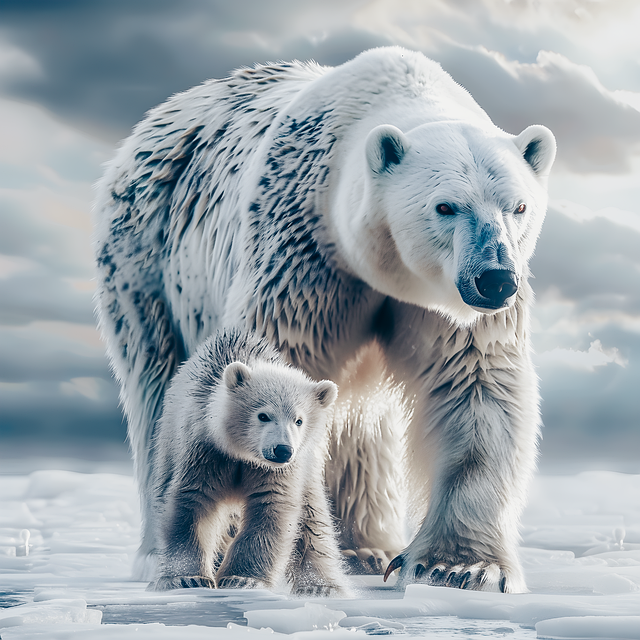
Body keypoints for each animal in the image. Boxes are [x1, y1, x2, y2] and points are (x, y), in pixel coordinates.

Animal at [146, 329, 347, 595]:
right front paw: (186, 578)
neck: (240, 453)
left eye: (299, 420)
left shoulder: (277, 471)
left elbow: (270, 507)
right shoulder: (205, 452)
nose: (282, 450)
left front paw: (242, 579)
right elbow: (192, 500)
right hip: (167, 444)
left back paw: (321, 587)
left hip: (308, 467)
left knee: (312, 518)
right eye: (263, 415)